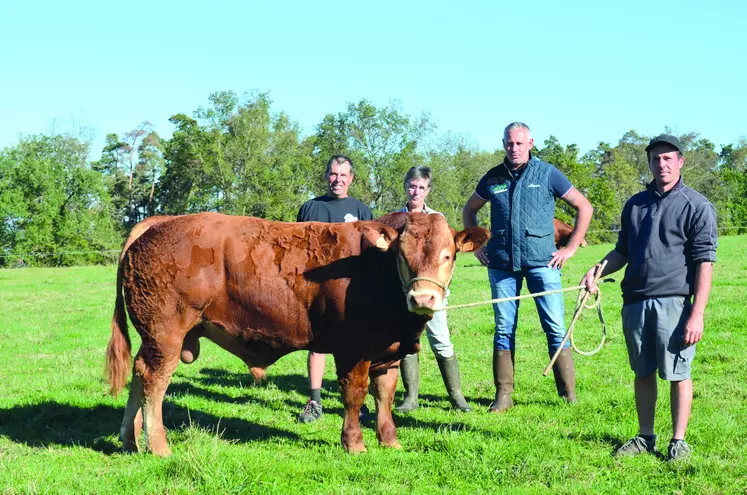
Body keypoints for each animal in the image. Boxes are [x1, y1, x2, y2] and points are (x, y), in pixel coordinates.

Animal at [106, 211, 490, 456]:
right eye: (402, 256)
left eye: (449, 255)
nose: (422, 297)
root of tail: (162, 222)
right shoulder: (353, 350)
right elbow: (354, 395)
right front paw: (354, 444)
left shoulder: (388, 352)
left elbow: (384, 396)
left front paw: (389, 440)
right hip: (166, 335)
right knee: (153, 381)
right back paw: (158, 446)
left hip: (153, 338)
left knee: (138, 374)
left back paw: (129, 440)